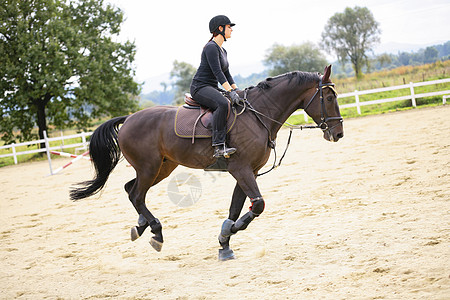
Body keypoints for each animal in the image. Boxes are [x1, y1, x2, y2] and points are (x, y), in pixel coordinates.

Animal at [70, 65, 344, 260]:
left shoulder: (249, 171)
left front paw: (225, 242)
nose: (339, 133)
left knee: (131, 190)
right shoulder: (241, 169)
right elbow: (258, 205)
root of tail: (128, 119)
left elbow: (237, 207)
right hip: (149, 167)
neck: (259, 115)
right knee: (137, 194)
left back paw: (140, 226)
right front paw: (231, 232)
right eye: (329, 98)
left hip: (162, 167)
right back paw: (156, 232)